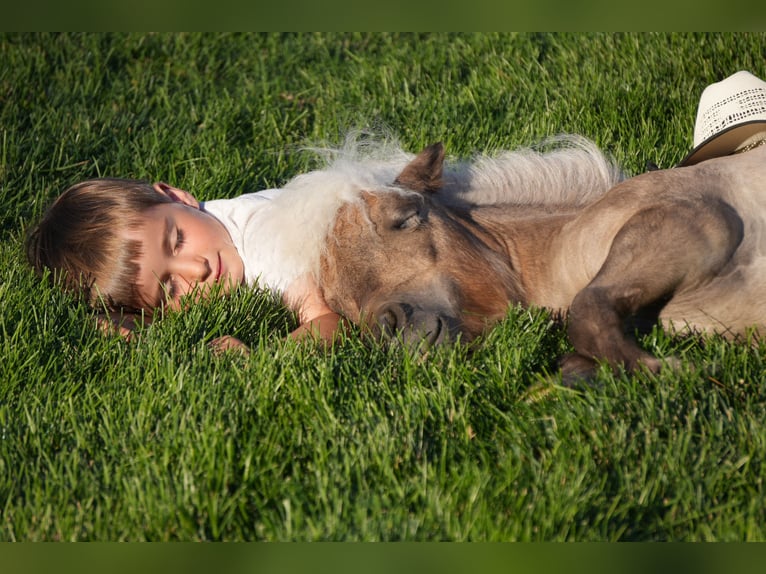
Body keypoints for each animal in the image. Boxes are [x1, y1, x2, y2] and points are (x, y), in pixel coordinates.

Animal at [281, 135, 766, 382]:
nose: (390, 326)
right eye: (339, 302)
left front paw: (667, 370)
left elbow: (587, 312)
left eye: (406, 217)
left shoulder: (692, 220)